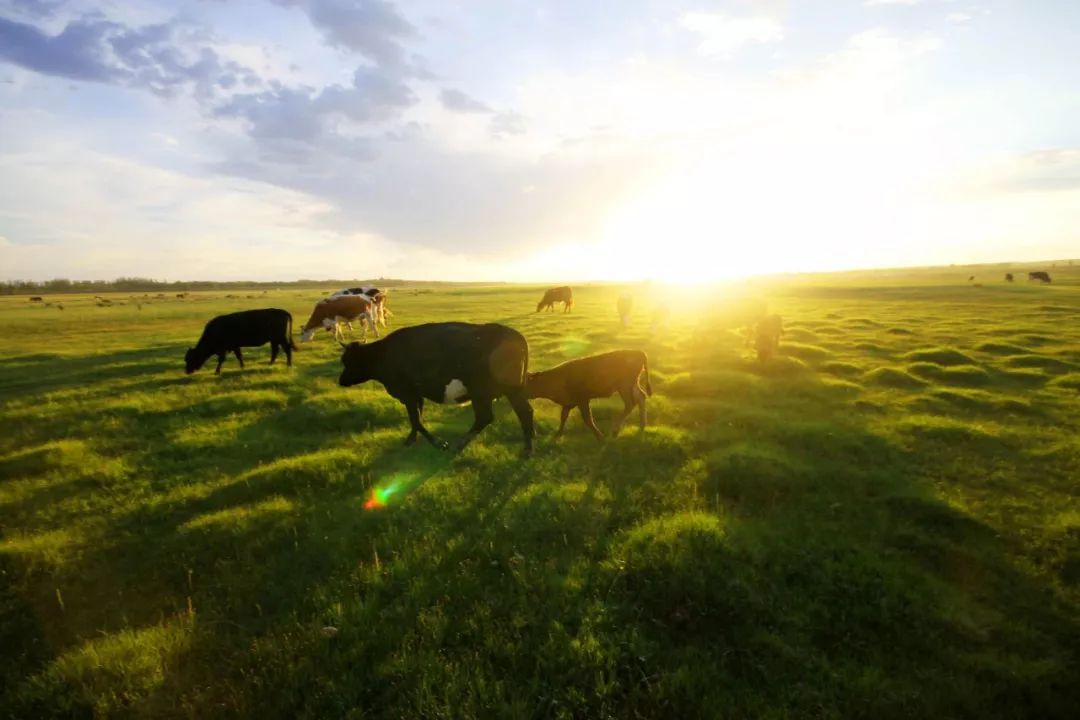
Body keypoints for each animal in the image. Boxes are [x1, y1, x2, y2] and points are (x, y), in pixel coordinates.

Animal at [336, 321, 535, 455]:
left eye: (348, 361)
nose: (341, 380)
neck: (383, 355)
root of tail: (514, 334)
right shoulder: (416, 395)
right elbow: (417, 418)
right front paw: (411, 438)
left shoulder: (408, 394)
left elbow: (416, 419)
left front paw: (438, 443)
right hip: (505, 391)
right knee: (522, 412)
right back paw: (529, 444)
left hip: (486, 392)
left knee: (491, 416)